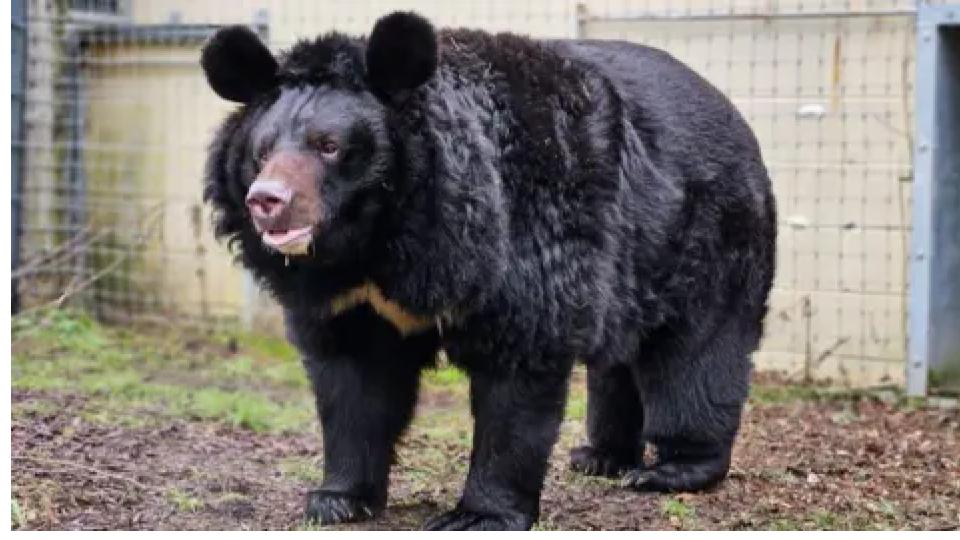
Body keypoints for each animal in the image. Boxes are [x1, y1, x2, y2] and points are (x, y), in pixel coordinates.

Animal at [200, 11, 776, 530]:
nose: (266, 202)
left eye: (330, 146)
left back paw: (673, 469)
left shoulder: (521, 242)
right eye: (262, 152)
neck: (379, 243)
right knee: (618, 361)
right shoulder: (347, 300)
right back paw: (601, 457)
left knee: (696, 355)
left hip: (710, 237)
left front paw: (478, 514)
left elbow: (518, 376)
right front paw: (336, 500)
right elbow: (353, 384)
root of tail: (733, 112)